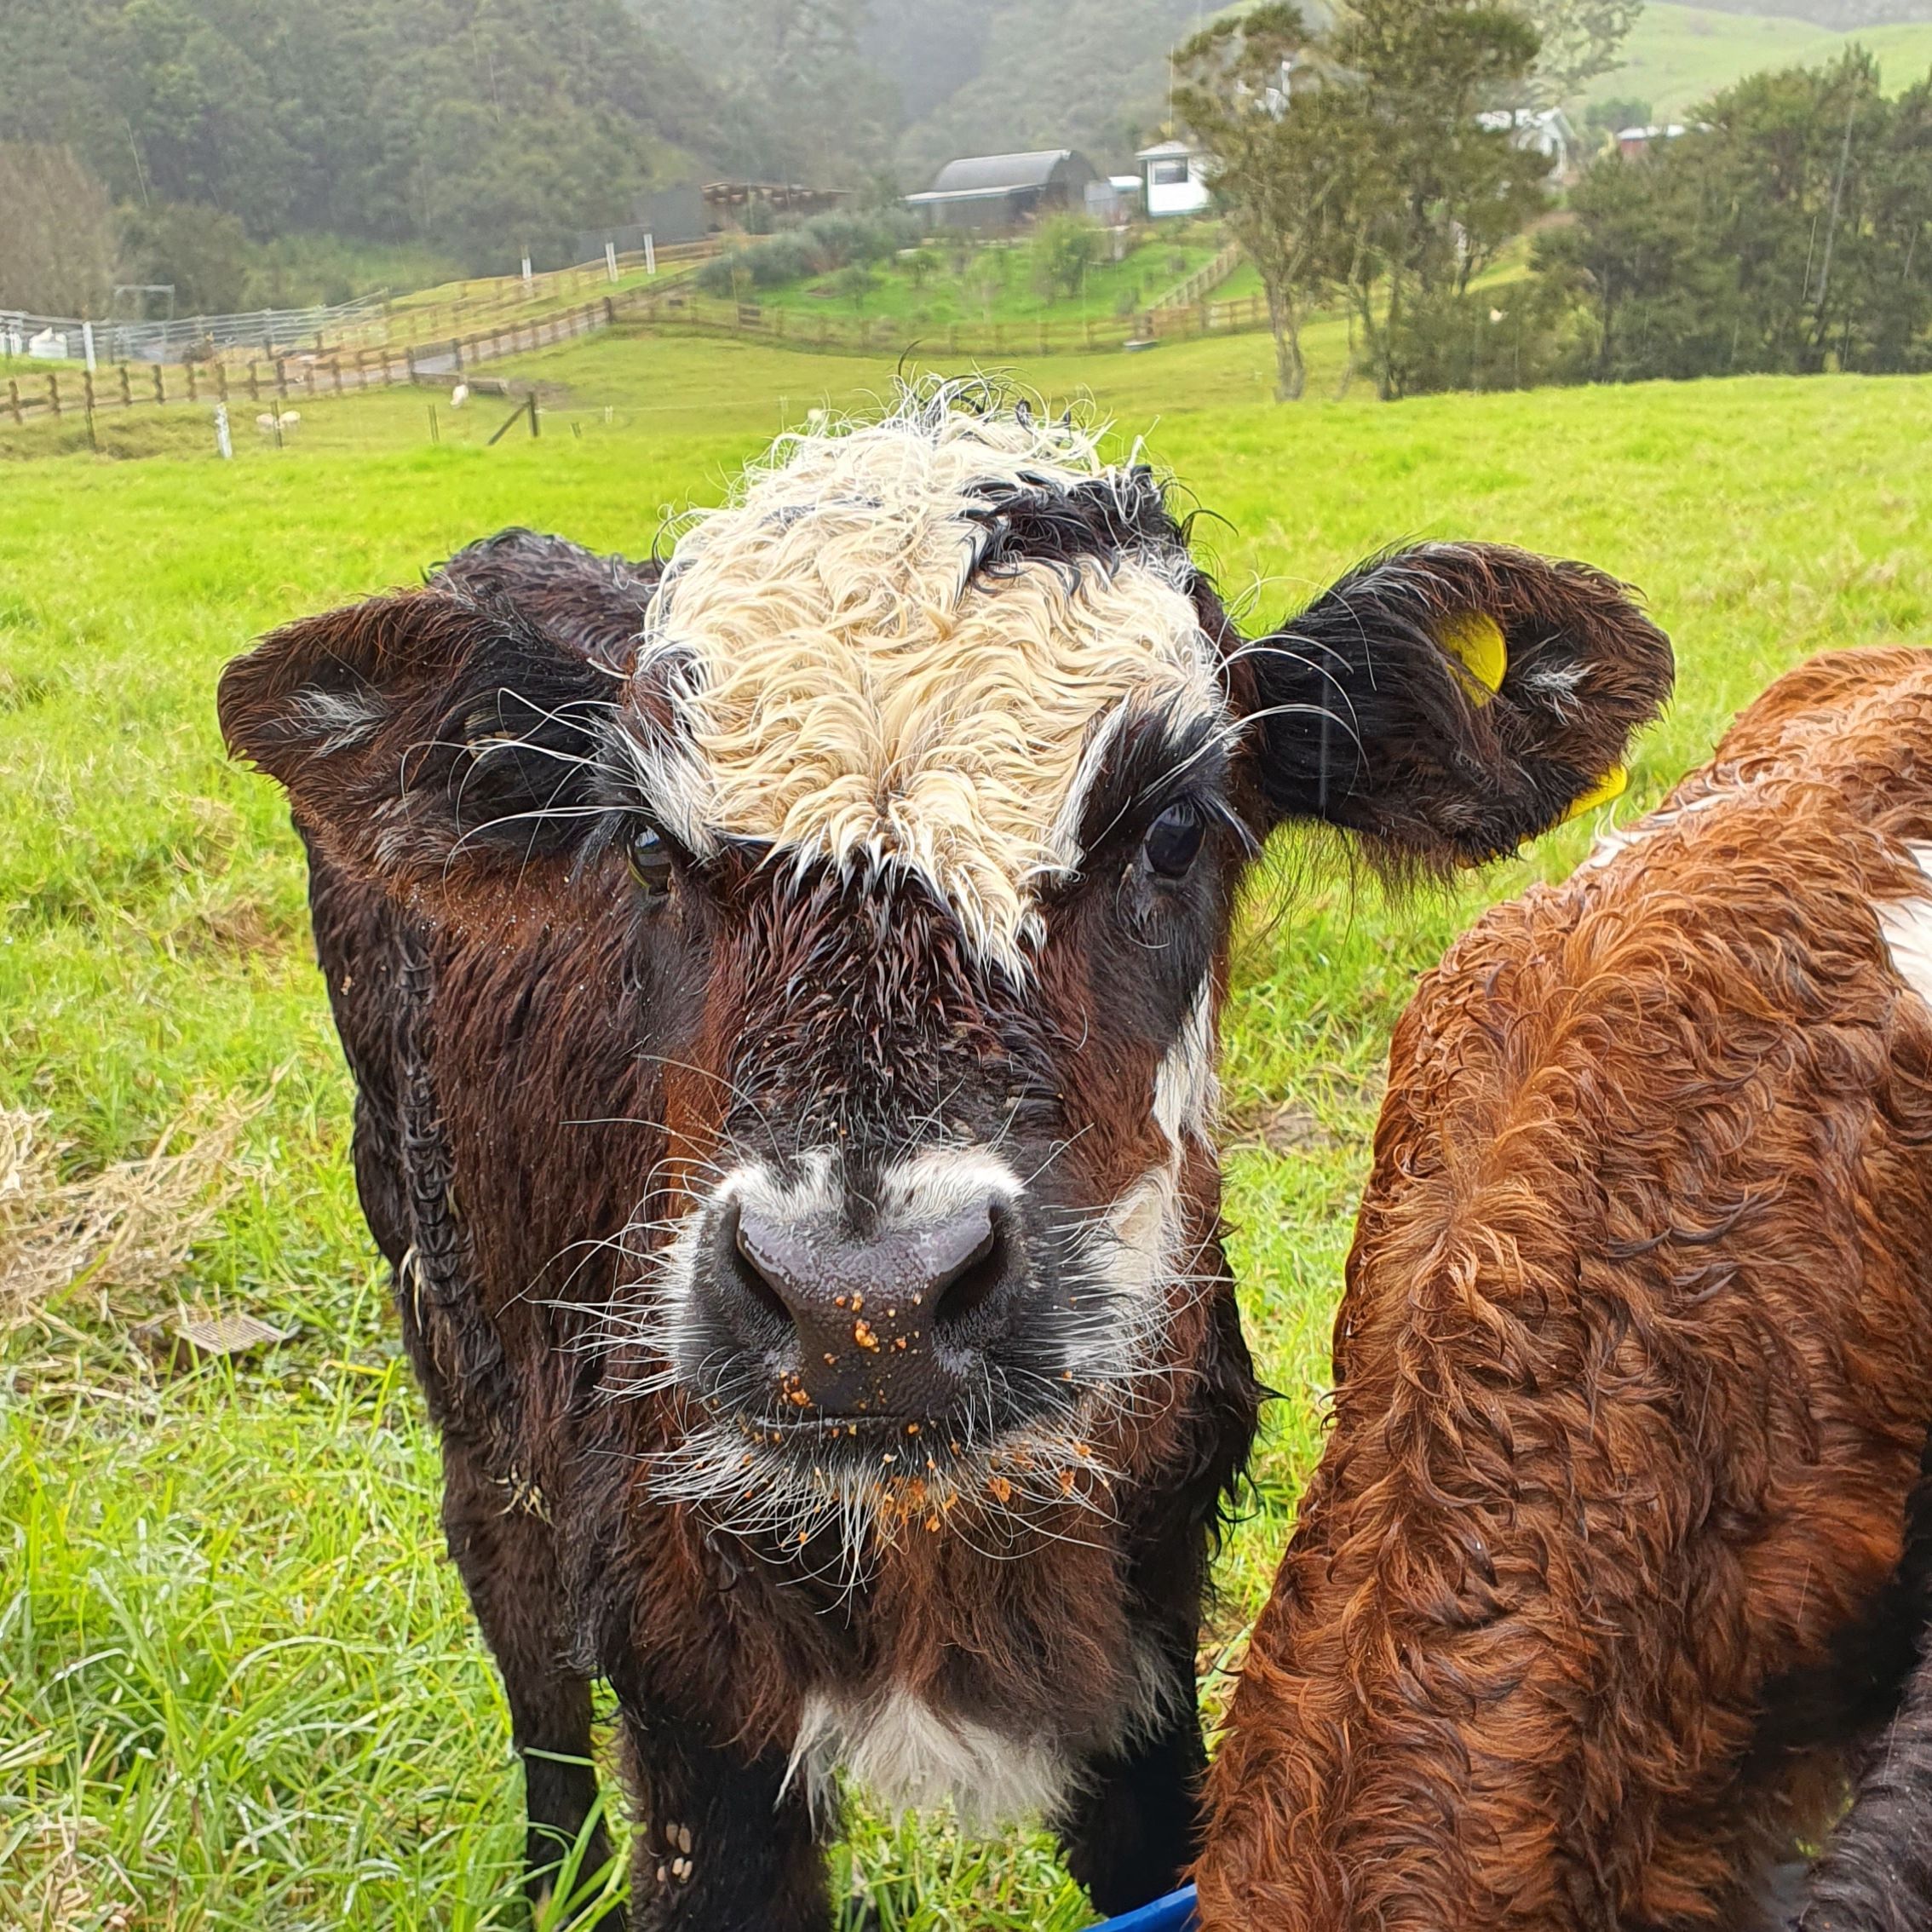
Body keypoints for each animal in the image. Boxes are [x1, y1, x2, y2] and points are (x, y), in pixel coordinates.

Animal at [218, 390, 1672, 1931]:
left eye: (1172, 831)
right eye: (647, 852)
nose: (866, 1306)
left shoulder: (1151, 1644)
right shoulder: (688, 1701)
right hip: (447, 1304)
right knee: (513, 1606)